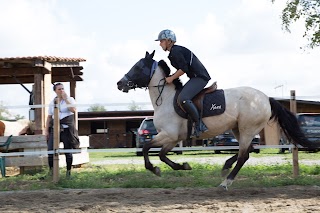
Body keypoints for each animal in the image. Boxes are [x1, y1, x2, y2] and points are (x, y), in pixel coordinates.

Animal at [116, 50, 318, 191]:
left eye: (138, 67)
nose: (119, 83)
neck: (164, 98)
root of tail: (266, 98)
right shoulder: (172, 138)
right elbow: (162, 155)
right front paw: (183, 166)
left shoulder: (169, 135)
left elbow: (146, 148)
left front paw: (155, 169)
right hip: (239, 129)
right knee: (248, 150)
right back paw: (226, 167)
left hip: (247, 129)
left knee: (244, 155)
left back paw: (225, 182)